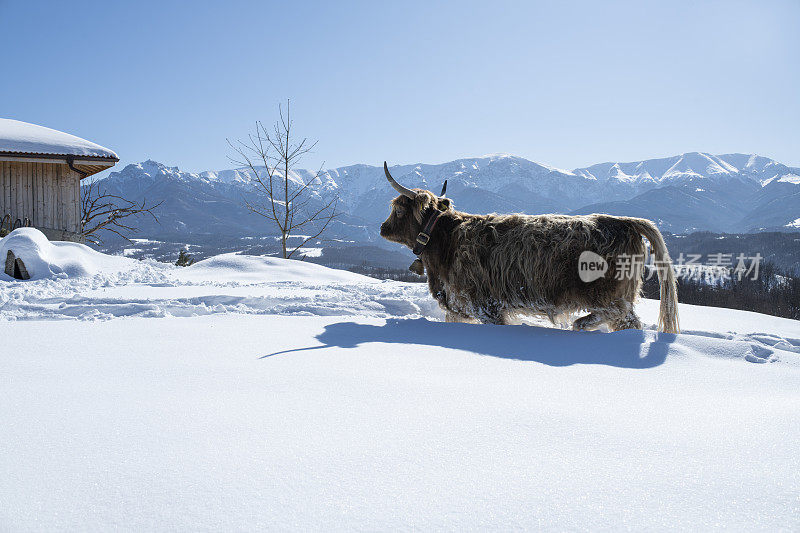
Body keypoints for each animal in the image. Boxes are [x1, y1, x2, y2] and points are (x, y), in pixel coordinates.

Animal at [378, 160, 680, 330]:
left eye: (398, 209)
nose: (382, 228)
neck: (445, 242)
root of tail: (623, 221)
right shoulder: (459, 308)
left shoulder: (485, 306)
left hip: (610, 298)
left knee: (626, 321)